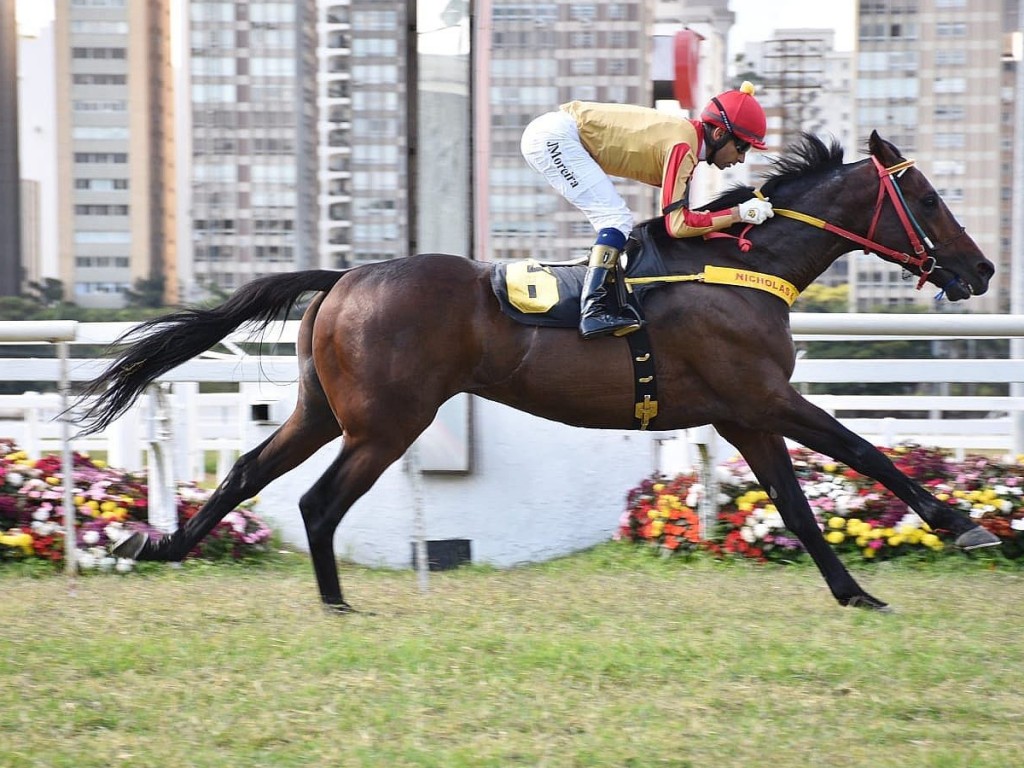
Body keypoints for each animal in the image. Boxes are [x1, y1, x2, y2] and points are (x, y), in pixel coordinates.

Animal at [75, 132, 995, 614]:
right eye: (931, 199)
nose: (981, 271)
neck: (744, 266)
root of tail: (343, 276)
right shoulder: (764, 396)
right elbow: (867, 453)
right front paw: (961, 523)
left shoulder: (744, 414)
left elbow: (800, 509)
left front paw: (856, 593)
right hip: (387, 422)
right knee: (316, 501)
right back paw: (334, 601)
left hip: (322, 411)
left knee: (245, 472)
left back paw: (156, 543)